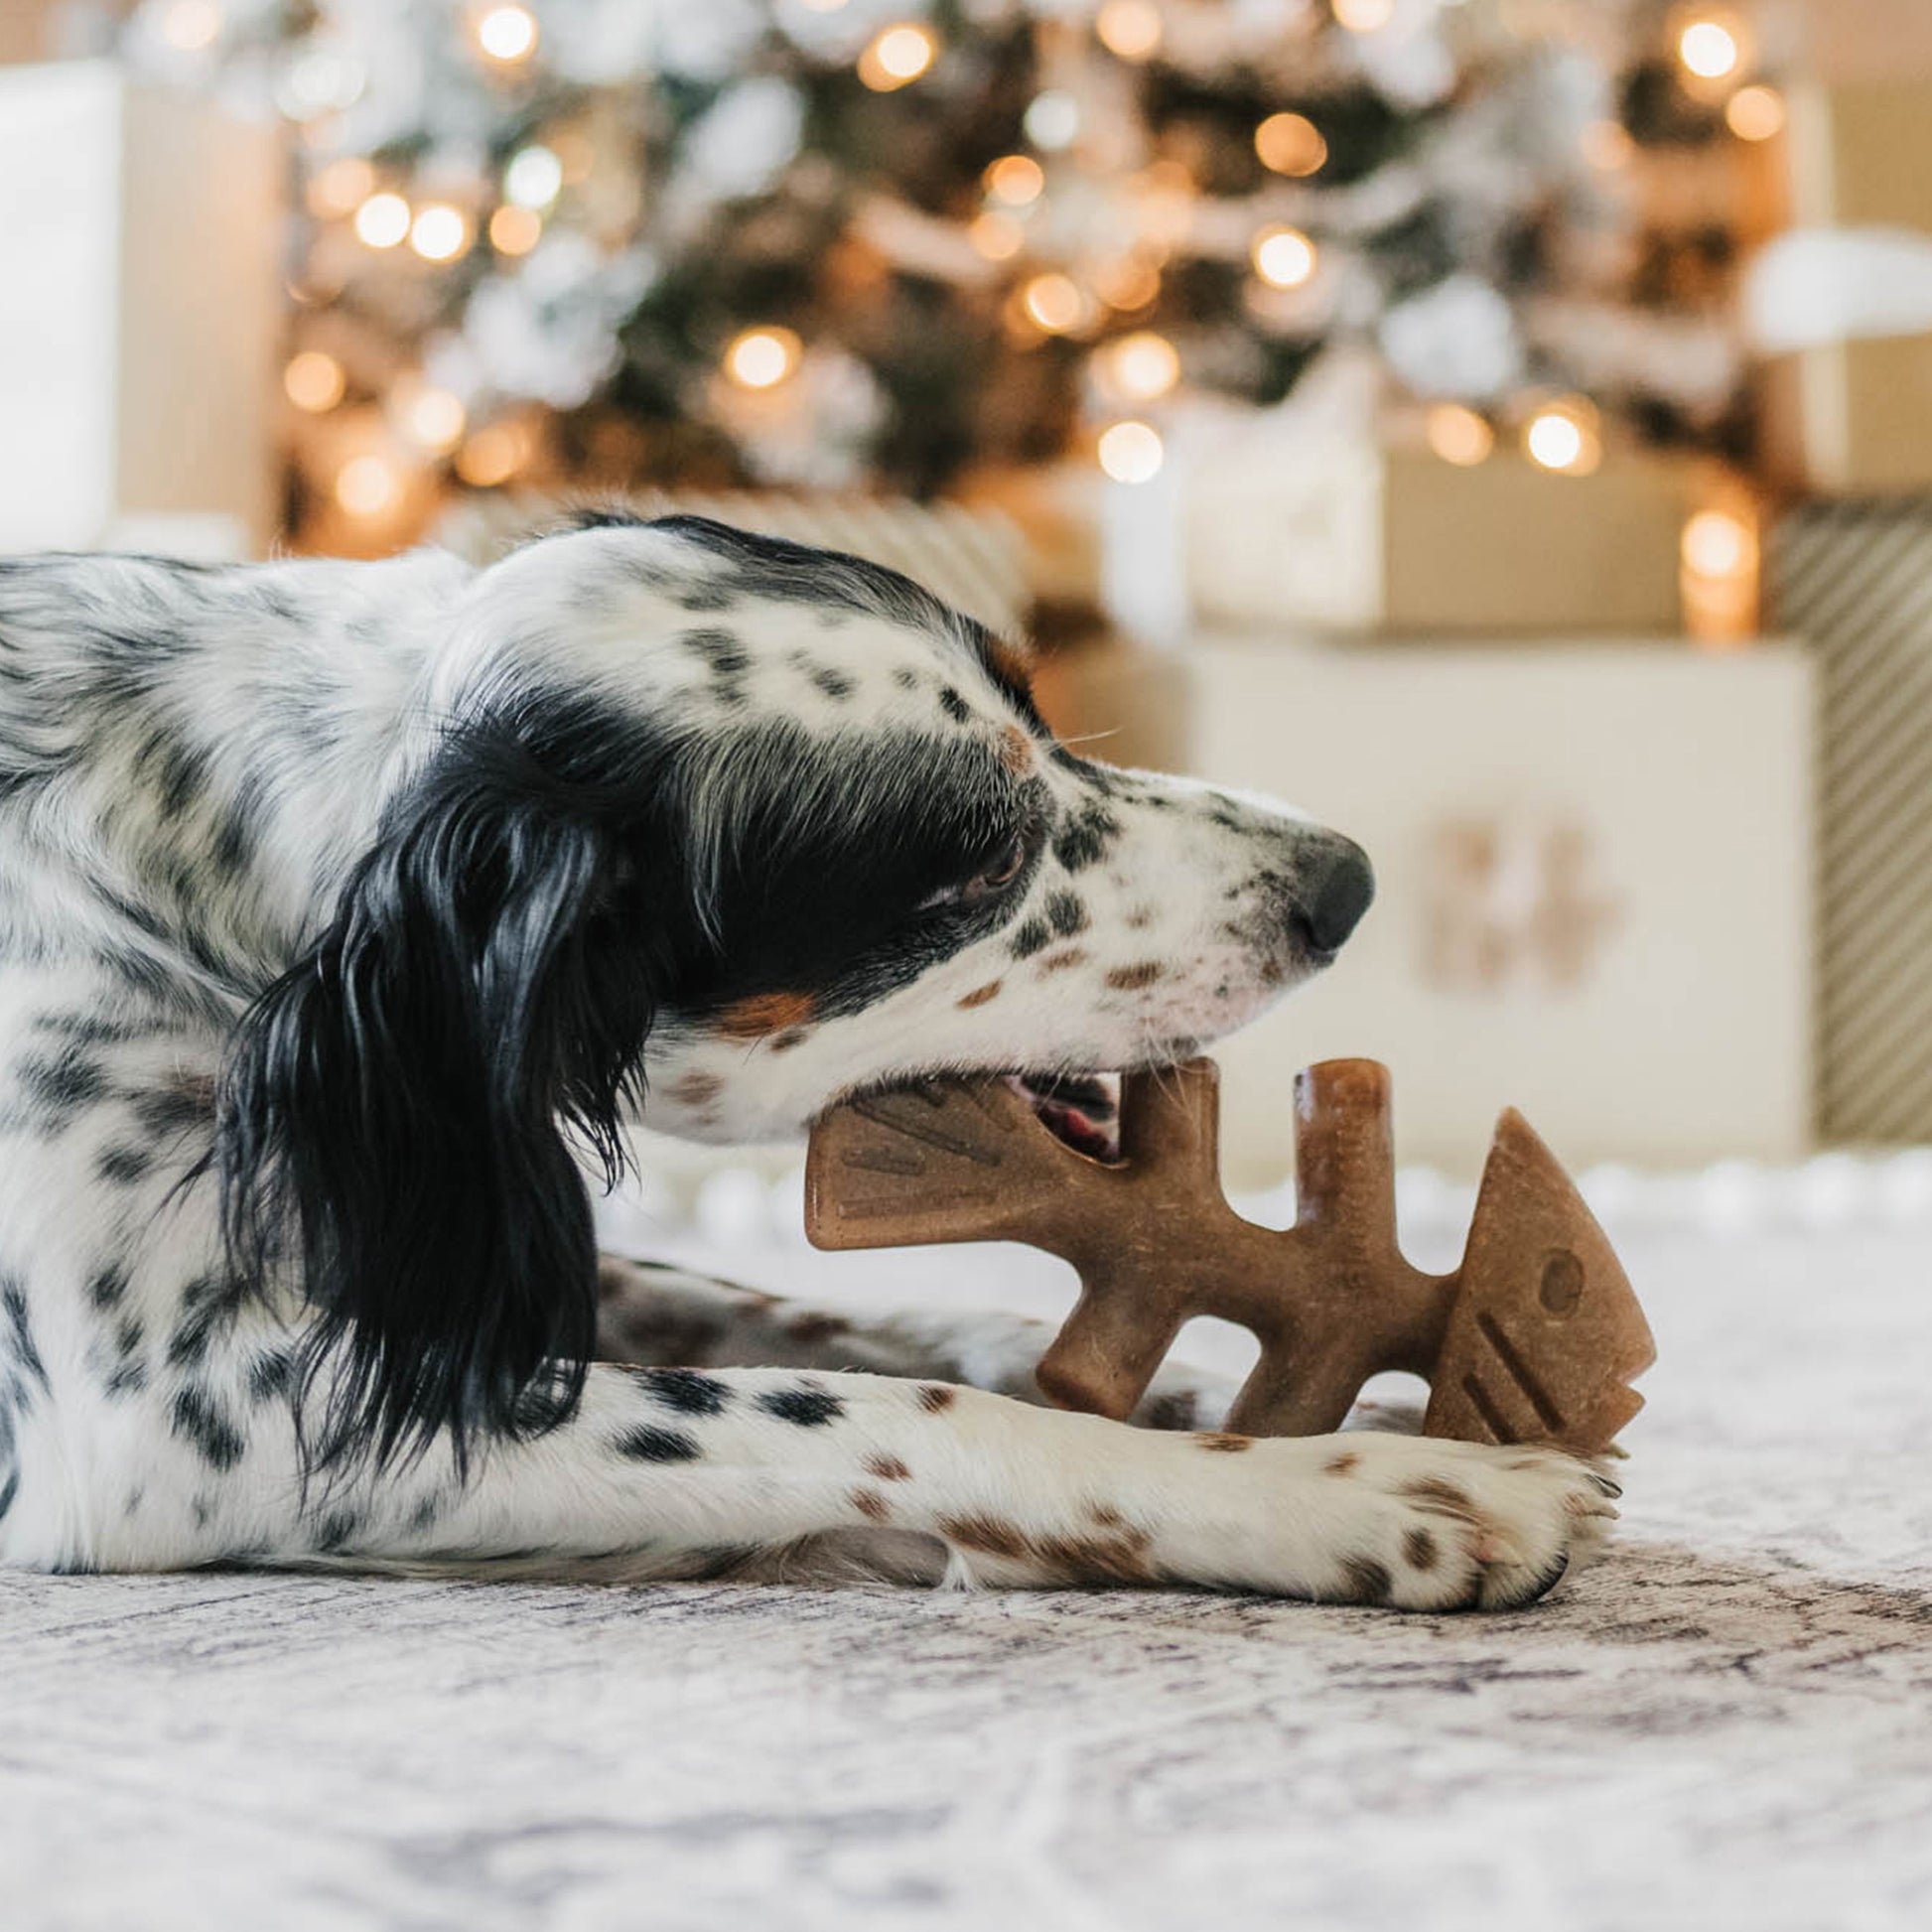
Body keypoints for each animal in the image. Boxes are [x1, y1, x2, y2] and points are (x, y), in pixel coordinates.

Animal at [0, 521, 1614, 1607]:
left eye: (1042, 721)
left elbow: (877, 1328)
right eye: (977, 858)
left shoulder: (460, 1246)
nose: (1346, 883)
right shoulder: (165, 1419)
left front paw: (1292, 1408)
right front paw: (1363, 1490)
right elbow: (879, 1408)